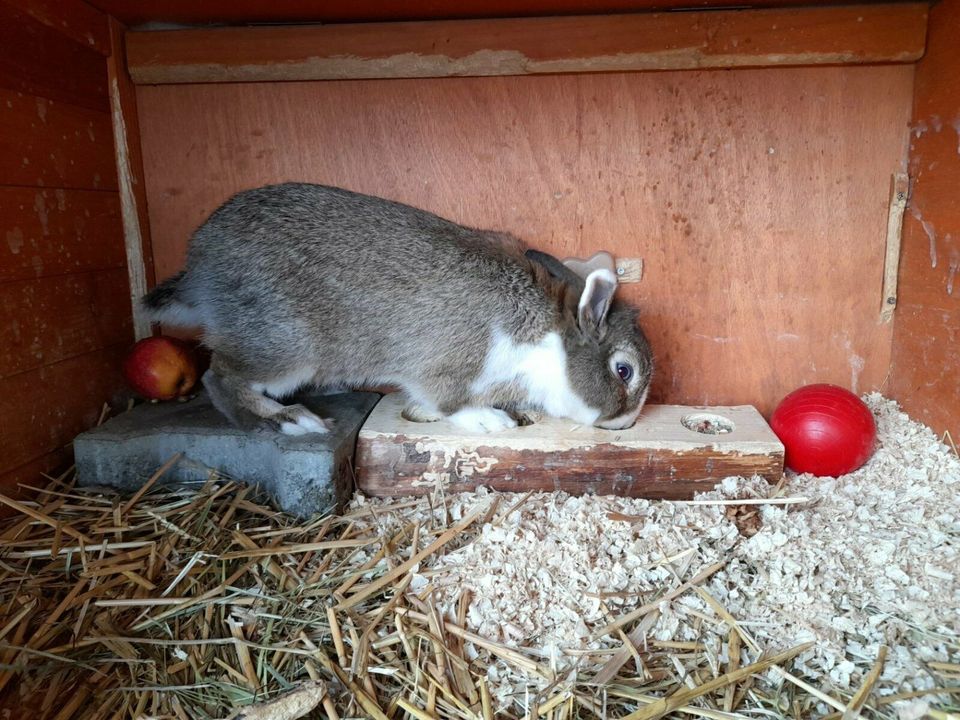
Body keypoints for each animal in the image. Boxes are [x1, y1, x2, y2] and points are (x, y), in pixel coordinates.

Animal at [141, 183, 652, 436]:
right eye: (623, 371)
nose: (625, 423)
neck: (550, 338)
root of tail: (200, 267)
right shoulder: (449, 366)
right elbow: (448, 402)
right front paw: (490, 421)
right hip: (285, 346)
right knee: (220, 377)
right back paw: (291, 421)